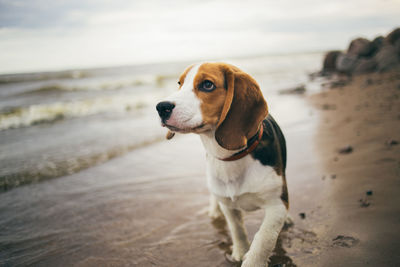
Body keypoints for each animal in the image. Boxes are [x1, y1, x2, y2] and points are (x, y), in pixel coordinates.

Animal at [156, 63, 288, 267]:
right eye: (180, 83)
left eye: (207, 85)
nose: (161, 107)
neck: (232, 157)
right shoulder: (228, 205)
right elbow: (237, 229)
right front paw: (240, 252)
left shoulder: (277, 206)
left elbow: (264, 238)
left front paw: (253, 261)